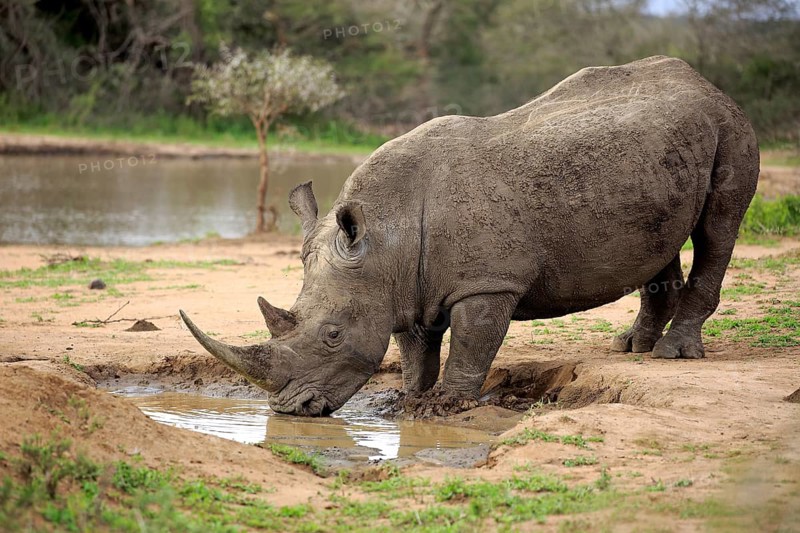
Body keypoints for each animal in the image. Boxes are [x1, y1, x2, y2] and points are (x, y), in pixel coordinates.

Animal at [180, 56, 759, 416]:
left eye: (333, 335)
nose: (289, 410)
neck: (386, 235)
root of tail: (706, 83)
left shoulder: (488, 282)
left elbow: (472, 342)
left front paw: (445, 405)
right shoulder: (404, 286)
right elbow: (414, 348)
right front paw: (408, 400)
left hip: (731, 127)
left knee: (717, 229)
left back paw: (672, 355)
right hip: (656, 155)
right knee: (661, 239)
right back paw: (631, 347)